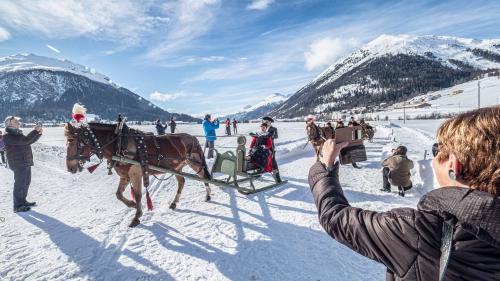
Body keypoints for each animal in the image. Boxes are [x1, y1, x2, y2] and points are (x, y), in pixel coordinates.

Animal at [63, 121, 212, 226]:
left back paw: (208, 195)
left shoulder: (136, 174)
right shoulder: (125, 176)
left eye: (72, 141)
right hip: (177, 167)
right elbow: (118, 194)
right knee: (182, 181)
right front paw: (132, 204)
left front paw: (137, 216)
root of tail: (192, 137)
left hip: (195, 162)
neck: (119, 144)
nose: (70, 168)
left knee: (204, 177)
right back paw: (174, 203)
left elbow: (139, 195)